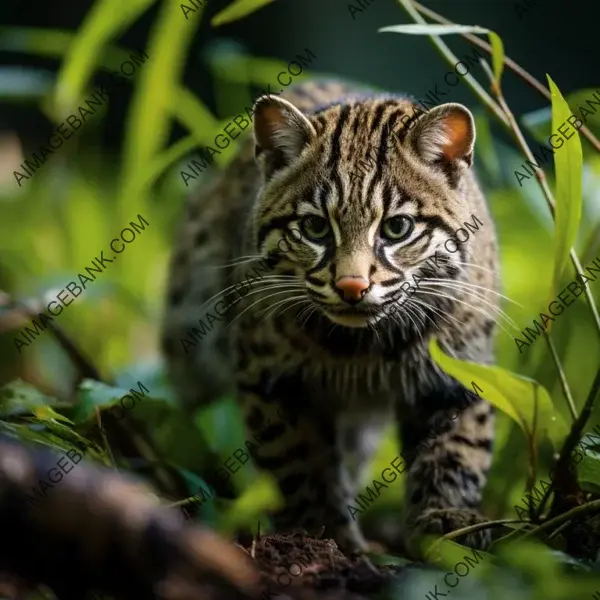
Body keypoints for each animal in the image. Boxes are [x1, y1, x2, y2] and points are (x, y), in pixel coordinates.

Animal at [162, 79, 500, 556]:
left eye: (397, 228)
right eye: (316, 229)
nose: (352, 287)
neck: (364, 345)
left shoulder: (456, 371)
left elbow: (457, 450)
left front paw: (447, 523)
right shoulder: (272, 377)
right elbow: (300, 464)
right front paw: (322, 533)